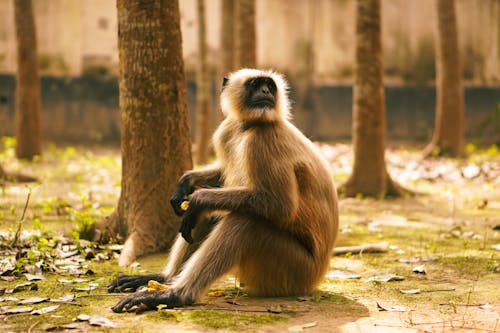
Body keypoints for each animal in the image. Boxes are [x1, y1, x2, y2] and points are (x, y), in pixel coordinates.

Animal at [107, 67, 338, 312]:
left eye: (269, 86)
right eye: (256, 84)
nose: (266, 92)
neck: (250, 126)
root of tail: (316, 277)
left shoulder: (263, 139)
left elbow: (280, 205)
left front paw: (198, 198)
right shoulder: (227, 129)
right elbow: (219, 176)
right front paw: (185, 182)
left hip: (293, 272)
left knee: (245, 222)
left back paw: (176, 294)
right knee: (211, 215)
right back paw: (165, 278)